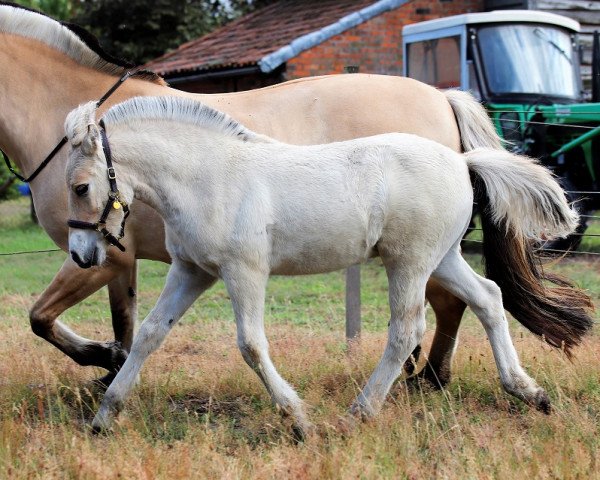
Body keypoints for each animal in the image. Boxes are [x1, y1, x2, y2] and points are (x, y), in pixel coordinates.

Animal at [0, 2, 592, 386]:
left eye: (81, 186)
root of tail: (443, 97)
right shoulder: (112, 255)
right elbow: (122, 322)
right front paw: (111, 372)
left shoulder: (95, 255)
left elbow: (41, 318)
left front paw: (102, 362)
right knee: (464, 299)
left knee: (445, 304)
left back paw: (426, 378)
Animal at [64, 97, 580, 436]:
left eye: (80, 187)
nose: (81, 255)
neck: (211, 176)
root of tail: (461, 160)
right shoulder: (192, 270)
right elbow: (150, 334)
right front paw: (104, 418)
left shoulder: (244, 271)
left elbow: (251, 345)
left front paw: (298, 419)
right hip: (443, 258)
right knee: (489, 298)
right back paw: (528, 392)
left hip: (409, 263)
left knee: (406, 330)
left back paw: (357, 415)